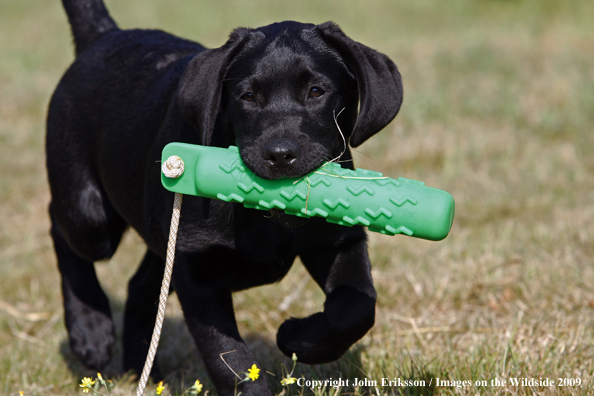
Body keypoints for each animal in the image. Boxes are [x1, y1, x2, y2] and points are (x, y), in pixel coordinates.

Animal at [47, 0, 402, 392]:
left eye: (316, 92)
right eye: (247, 96)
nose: (280, 155)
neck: (265, 219)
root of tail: (104, 35)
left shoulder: (338, 241)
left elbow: (356, 309)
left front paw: (297, 338)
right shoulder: (197, 274)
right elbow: (229, 358)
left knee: (140, 286)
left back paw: (141, 370)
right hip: (90, 218)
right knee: (61, 229)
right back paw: (90, 331)